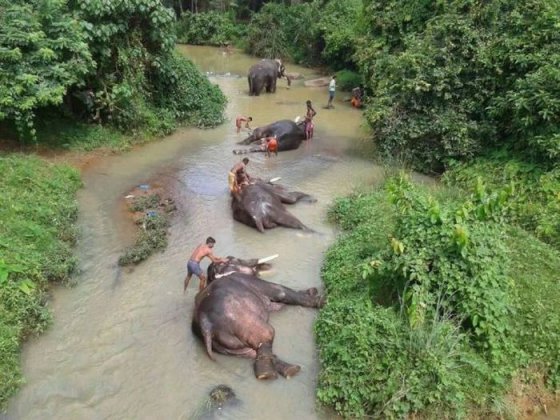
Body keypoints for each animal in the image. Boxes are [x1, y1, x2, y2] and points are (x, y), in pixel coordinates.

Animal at [191, 256, 324, 380]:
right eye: (233, 258)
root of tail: (205, 323)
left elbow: (278, 305)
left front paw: (312, 291)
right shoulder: (254, 282)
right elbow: (281, 292)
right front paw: (322, 300)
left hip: (228, 348)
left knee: (253, 353)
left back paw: (290, 369)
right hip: (245, 323)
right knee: (266, 336)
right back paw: (269, 373)